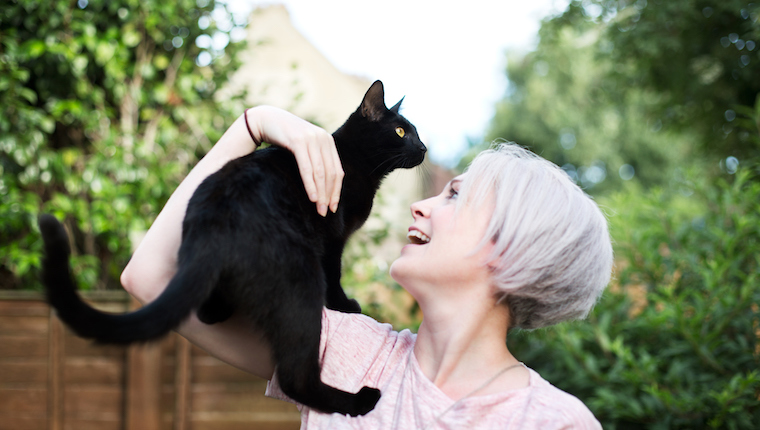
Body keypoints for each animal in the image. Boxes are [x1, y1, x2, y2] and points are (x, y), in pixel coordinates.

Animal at [38, 80, 428, 416]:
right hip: (303, 277)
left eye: (416, 132)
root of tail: (215, 223)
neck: (356, 163)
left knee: (209, 314)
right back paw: (360, 401)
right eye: (401, 132)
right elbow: (336, 276)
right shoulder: (334, 238)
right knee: (295, 378)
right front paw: (345, 305)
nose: (424, 148)